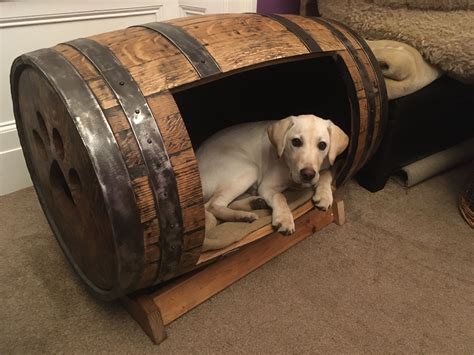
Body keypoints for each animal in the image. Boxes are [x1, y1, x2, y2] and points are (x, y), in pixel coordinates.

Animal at [196, 114, 348, 236]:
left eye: (322, 145)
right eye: (296, 141)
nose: (307, 174)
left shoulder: (325, 166)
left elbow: (326, 174)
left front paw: (324, 195)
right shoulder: (267, 187)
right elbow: (279, 196)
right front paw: (284, 218)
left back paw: (253, 205)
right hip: (249, 169)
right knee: (212, 205)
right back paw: (242, 216)